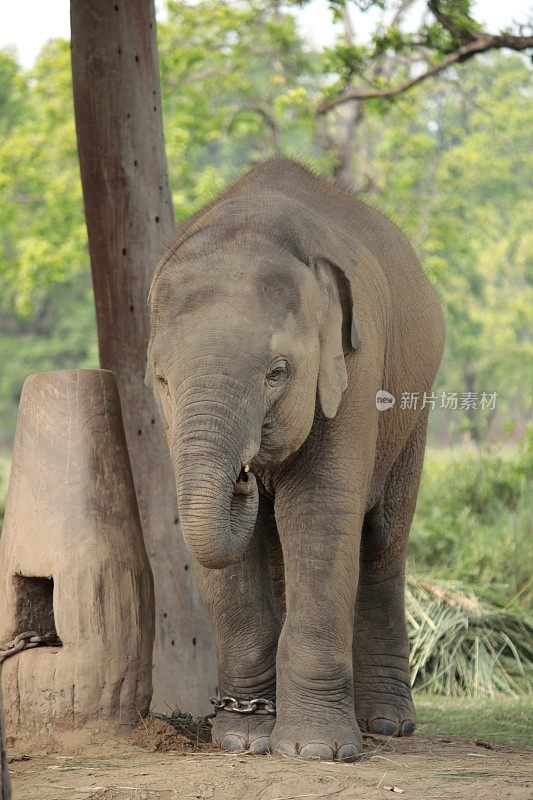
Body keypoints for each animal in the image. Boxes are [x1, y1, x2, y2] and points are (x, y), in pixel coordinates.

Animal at [145, 156, 444, 764]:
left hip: (412, 411)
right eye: (161, 378)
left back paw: (386, 724)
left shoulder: (356, 369)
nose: (244, 479)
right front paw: (242, 739)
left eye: (277, 372)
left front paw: (315, 750)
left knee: (383, 539)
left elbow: (318, 511)